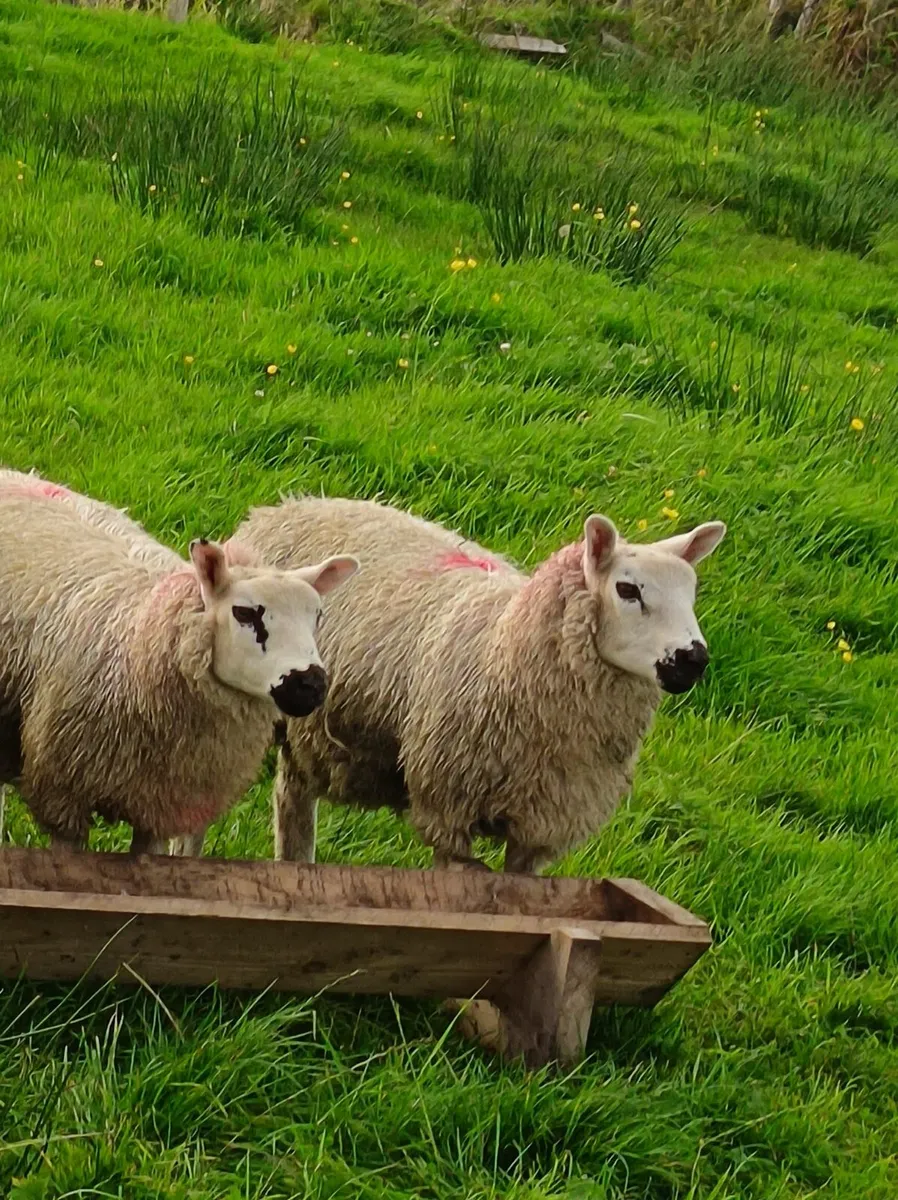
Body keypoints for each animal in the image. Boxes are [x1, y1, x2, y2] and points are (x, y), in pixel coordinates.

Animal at [223, 497, 725, 873]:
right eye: (627, 590)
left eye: (691, 592)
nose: (693, 659)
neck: (502, 644)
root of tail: (283, 506)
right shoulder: (447, 808)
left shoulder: (540, 826)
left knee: (292, 797)